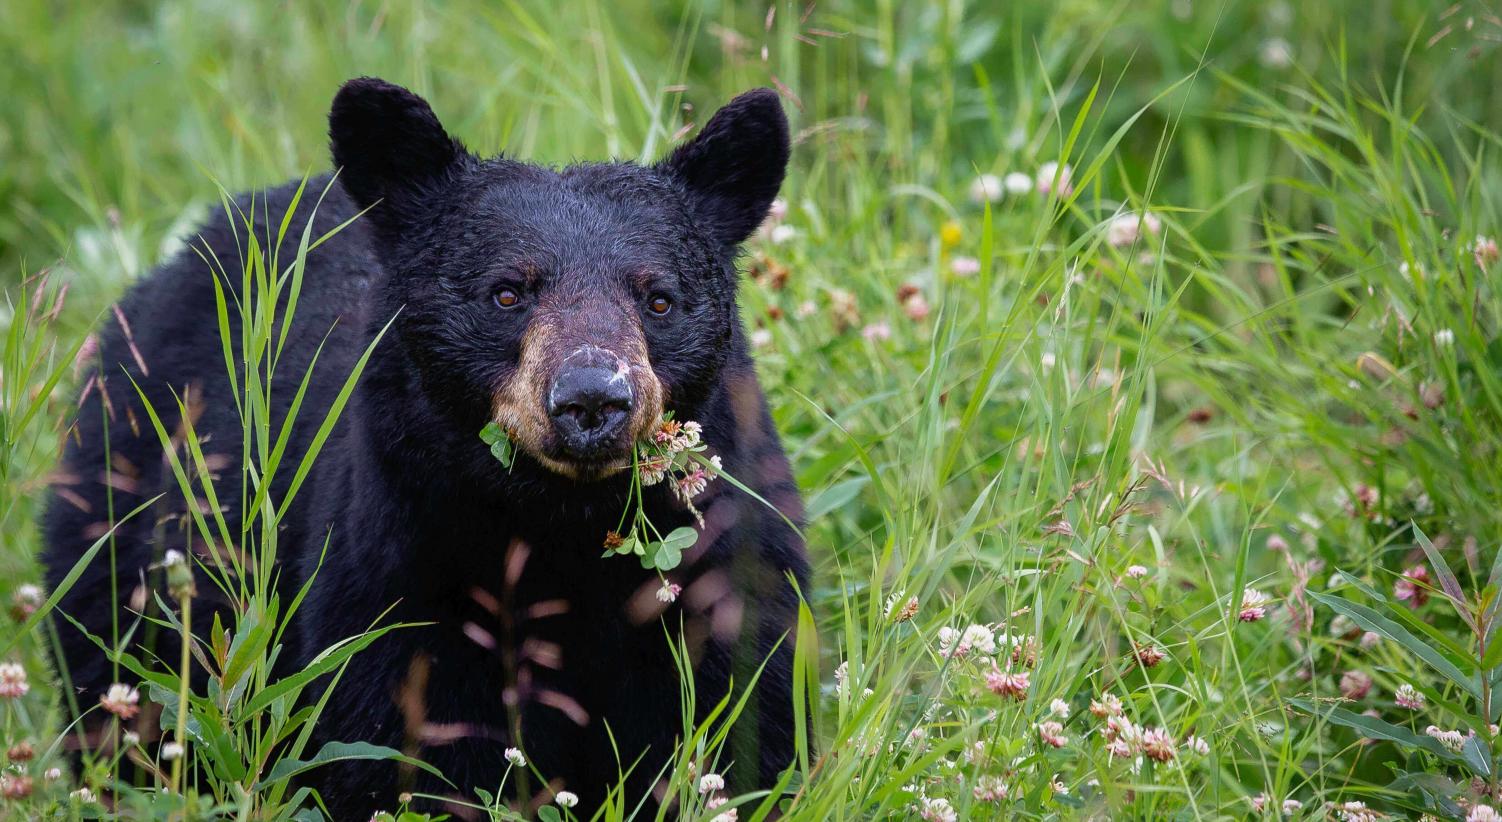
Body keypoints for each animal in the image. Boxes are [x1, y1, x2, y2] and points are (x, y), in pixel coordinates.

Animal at [43, 78, 811, 817]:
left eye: (658, 299)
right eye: (507, 293)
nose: (593, 399)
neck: (562, 531)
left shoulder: (726, 572)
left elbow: (744, 728)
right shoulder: (399, 575)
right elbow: (403, 749)